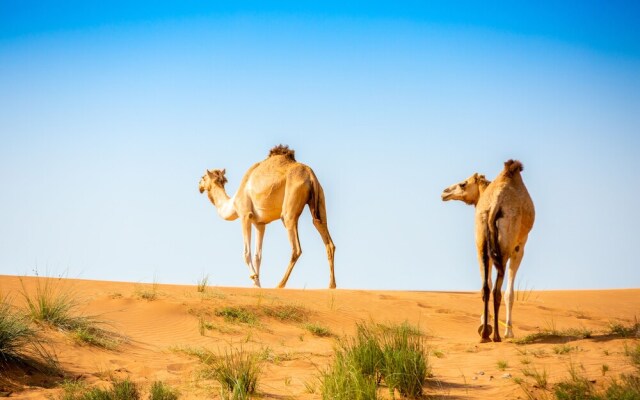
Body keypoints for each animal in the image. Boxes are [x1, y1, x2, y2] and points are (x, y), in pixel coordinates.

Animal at [199, 145, 338, 290]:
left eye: (203, 177)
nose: (199, 185)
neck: (233, 203)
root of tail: (311, 175)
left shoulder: (245, 215)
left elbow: (246, 253)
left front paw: (254, 278)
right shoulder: (260, 224)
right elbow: (258, 256)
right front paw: (257, 284)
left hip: (289, 207)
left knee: (296, 247)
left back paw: (280, 284)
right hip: (320, 199)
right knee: (326, 236)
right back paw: (331, 285)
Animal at [440, 159, 536, 340]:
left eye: (463, 184)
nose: (444, 192)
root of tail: (494, 204)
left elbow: (488, 283)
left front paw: (485, 323)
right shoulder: (519, 248)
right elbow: (509, 293)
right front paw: (509, 332)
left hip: (481, 242)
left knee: (485, 287)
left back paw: (485, 333)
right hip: (505, 246)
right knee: (497, 290)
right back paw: (497, 335)